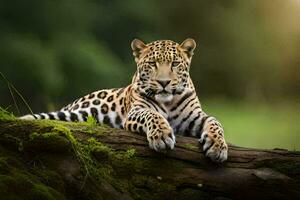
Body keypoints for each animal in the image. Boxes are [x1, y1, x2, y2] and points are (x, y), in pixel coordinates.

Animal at [20, 38, 227, 162]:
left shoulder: (195, 117)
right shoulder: (136, 111)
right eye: (152, 64)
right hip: (77, 113)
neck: (168, 102)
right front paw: (161, 135)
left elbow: (215, 121)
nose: (164, 82)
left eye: (175, 64)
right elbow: (152, 115)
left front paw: (218, 146)